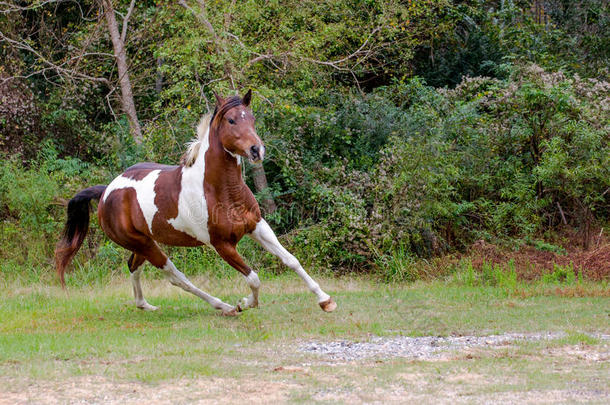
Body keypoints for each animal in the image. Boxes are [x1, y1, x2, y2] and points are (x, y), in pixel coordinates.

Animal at [54, 90, 334, 314]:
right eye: (232, 120)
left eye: (252, 118)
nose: (257, 150)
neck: (221, 190)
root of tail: (106, 192)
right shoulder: (222, 244)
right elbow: (253, 278)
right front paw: (245, 303)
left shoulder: (257, 226)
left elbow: (291, 260)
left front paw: (325, 300)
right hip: (145, 245)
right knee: (176, 277)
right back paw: (225, 306)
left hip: (143, 242)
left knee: (133, 266)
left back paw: (144, 305)